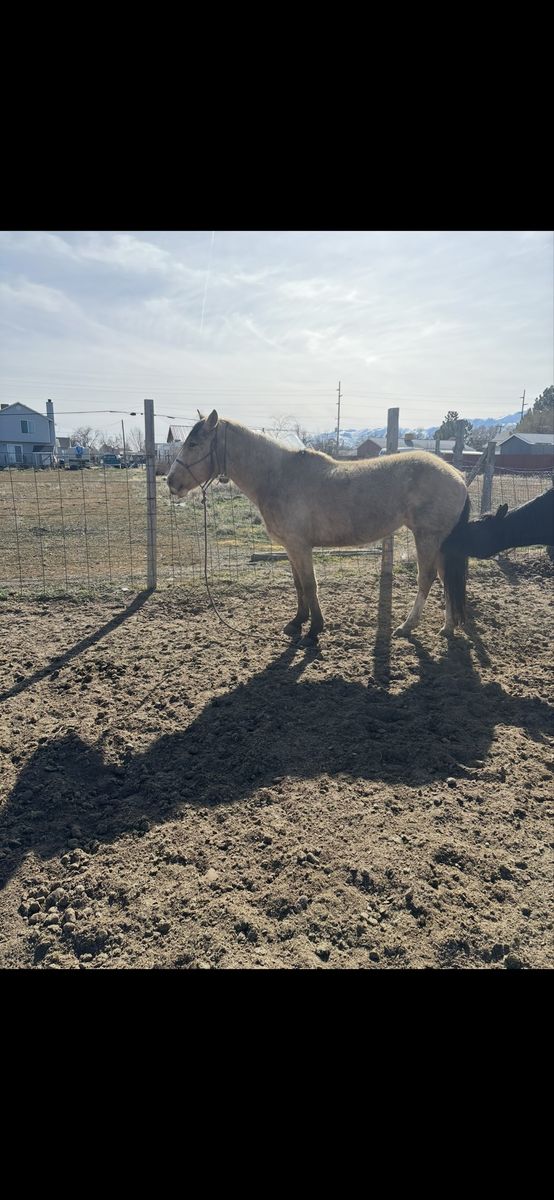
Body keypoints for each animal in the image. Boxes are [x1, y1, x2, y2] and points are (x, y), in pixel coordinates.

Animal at [167, 411, 471, 640]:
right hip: (439, 542)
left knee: (426, 579)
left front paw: (314, 629)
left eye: (193, 444)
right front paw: (297, 622)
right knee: (446, 579)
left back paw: (407, 626)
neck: (277, 476)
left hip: (427, 537)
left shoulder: (301, 546)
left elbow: (310, 584)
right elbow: (298, 584)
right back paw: (447, 628)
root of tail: (457, 475)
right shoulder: (290, 547)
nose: (171, 481)